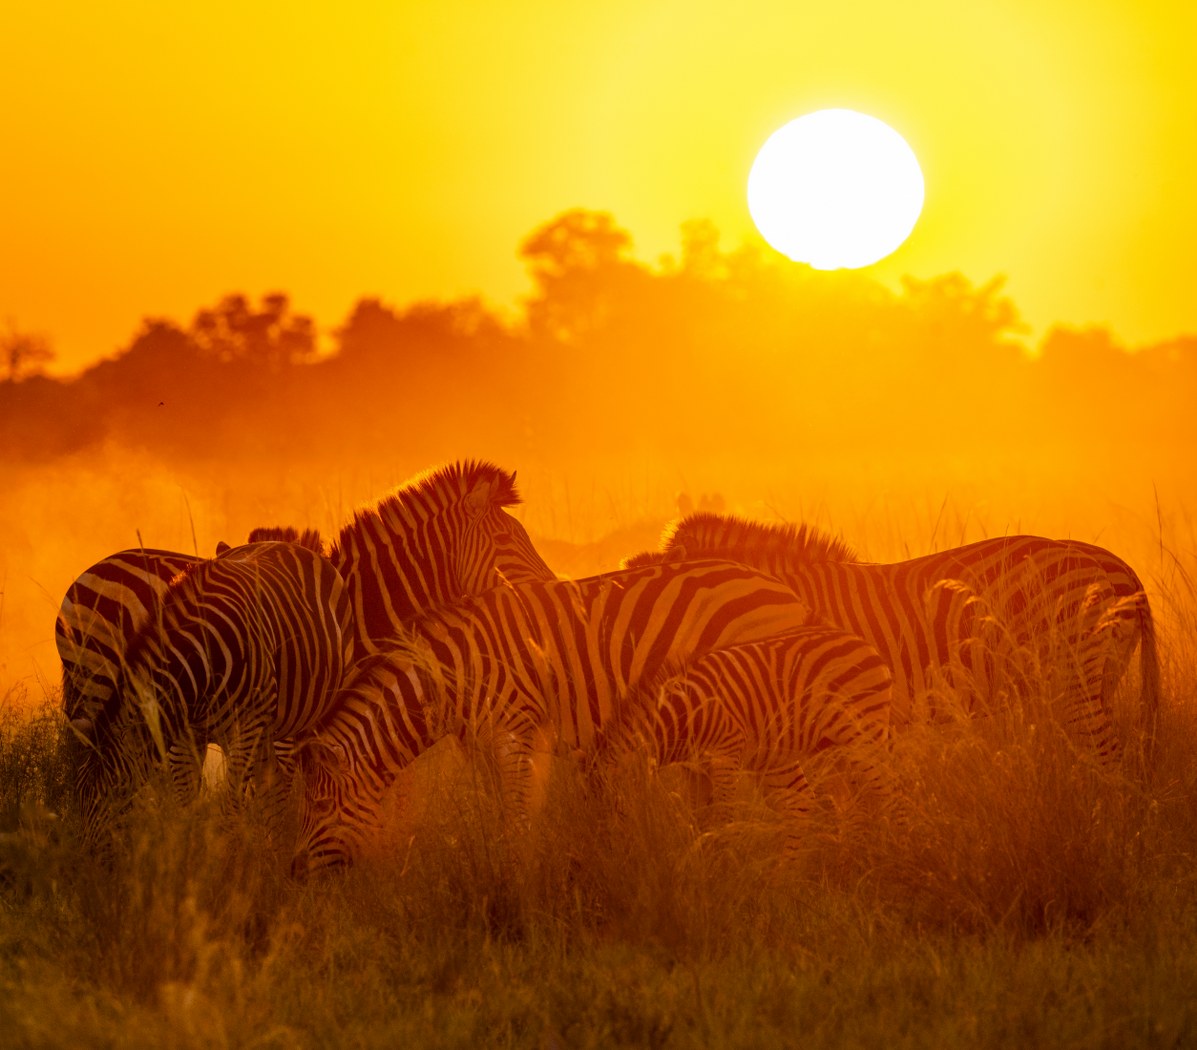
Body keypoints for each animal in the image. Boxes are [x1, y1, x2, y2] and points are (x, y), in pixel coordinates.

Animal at [72, 539, 353, 849]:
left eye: (115, 793)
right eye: (77, 799)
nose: (84, 855)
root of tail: (281, 542)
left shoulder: (244, 729)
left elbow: (230, 808)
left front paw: (226, 856)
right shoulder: (186, 735)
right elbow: (186, 805)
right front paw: (187, 853)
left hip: (298, 717)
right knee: (271, 784)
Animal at [290, 557, 817, 873]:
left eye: (320, 806)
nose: (295, 872)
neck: (454, 675)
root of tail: (789, 593)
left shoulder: (517, 731)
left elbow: (518, 817)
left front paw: (518, 886)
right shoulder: (483, 744)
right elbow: (504, 813)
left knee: (797, 802)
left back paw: (789, 878)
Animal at [594, 625, 894, 853]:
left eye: (616, 808)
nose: (608, 857)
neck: (686, 715)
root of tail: (866, 644)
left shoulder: (725, 757)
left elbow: (723, 818)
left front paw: (725, 867)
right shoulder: (695, 771)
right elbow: (699, 821)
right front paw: (703, 866)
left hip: (862, 734)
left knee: (886, 791)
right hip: (832, 749)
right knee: (837, 804)